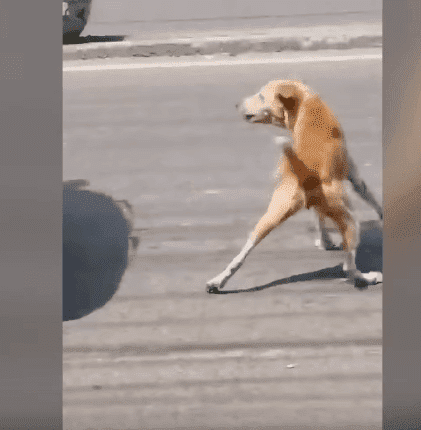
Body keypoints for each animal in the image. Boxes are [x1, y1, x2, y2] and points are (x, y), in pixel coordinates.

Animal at [205, 79, 382, 290]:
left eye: (261, 96)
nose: (236, 104)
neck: (304, 100)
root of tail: (305, 176)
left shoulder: (323, 200)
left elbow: (319, 219)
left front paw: (325, 241)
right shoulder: (353, 174)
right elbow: (372, 198)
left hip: (269, 217)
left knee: (241, 254)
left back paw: (218, 280)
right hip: (350, 219)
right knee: (349, 268)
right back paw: (368, 278)